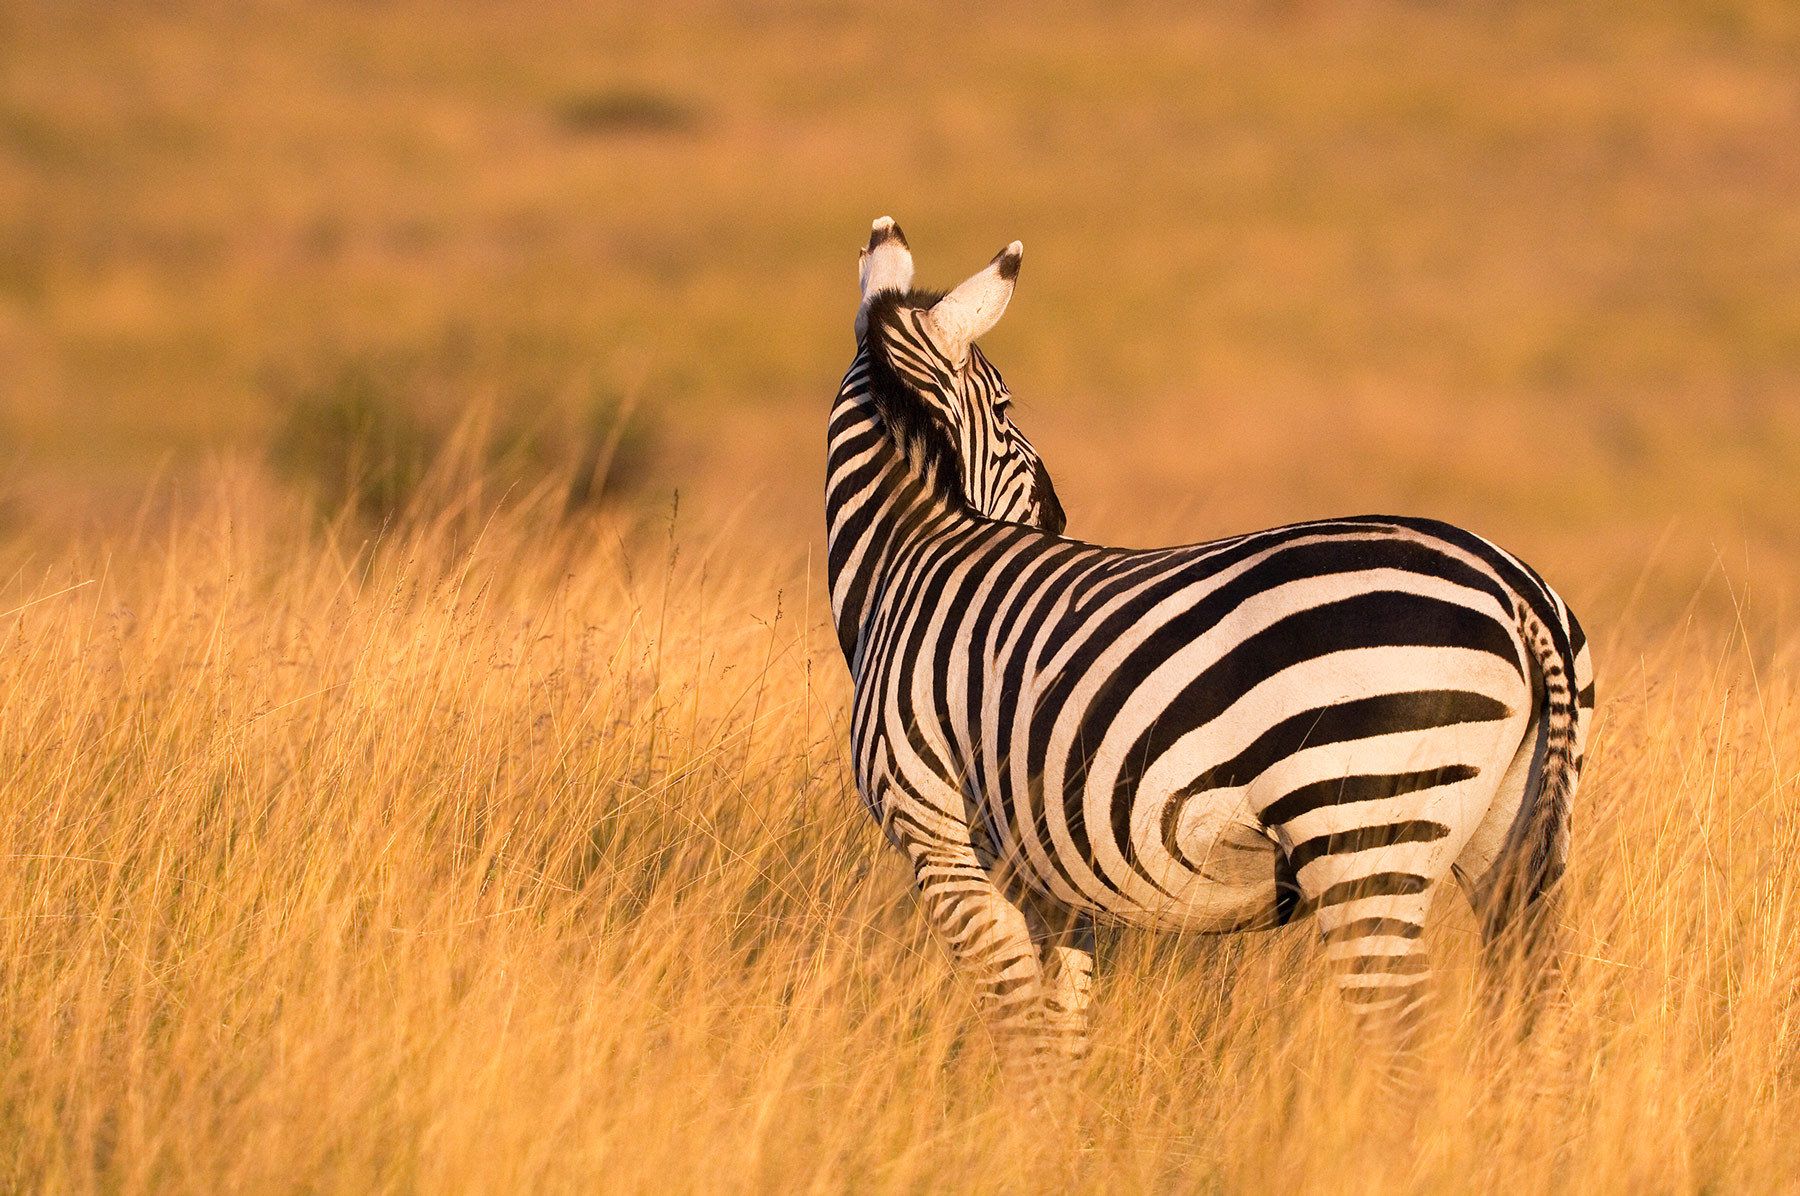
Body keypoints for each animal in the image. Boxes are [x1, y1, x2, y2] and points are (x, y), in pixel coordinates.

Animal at [827, 216, 1596, 1089]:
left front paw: (1007, 1119)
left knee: (1403, 1047)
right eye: (1006, 403)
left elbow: (1014, 1012)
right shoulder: (1049, 876)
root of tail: (1514, 588)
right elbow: (1061, 1023)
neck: (909, 551)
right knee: (1536, 1012)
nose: (1056, 517)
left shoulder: (935, 832)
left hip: (1364, 838)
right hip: (1513, 839)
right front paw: (1052, 1120)